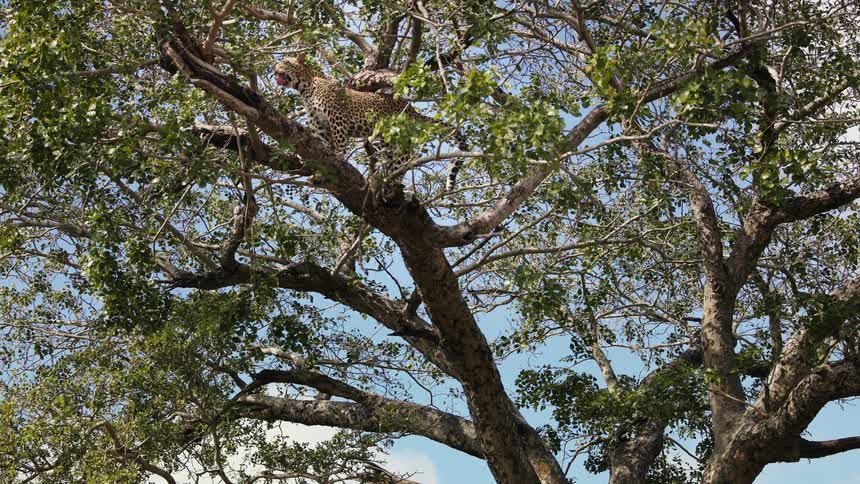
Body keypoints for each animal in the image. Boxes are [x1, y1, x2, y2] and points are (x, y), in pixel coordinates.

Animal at [273, 54, 468, 193]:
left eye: (285, 61)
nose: (274, 70)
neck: (306, 88)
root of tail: (412, 110)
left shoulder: (337, 117)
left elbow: (338, 143)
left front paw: (339, 158)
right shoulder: (319, 125)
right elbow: (323, 146)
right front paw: (319, 173)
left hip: (402, 139)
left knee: (404, 161)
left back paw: (391, 183)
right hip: (387, 141)